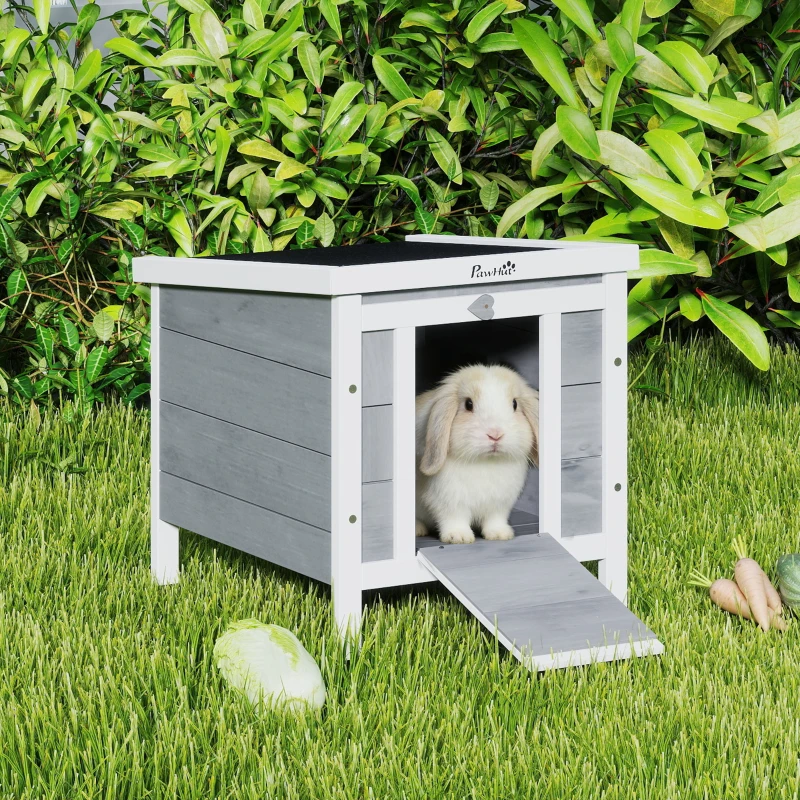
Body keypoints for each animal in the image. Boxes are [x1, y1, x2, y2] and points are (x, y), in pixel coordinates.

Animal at [415, 364, 539, 545]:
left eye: (515, 404)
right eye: (468, 404)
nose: (495, 434)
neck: (485, 462)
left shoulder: (499, 505)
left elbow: (495, 520)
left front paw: (500, 534)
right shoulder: (449, 501)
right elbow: (454, 518)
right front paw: (458, 537)